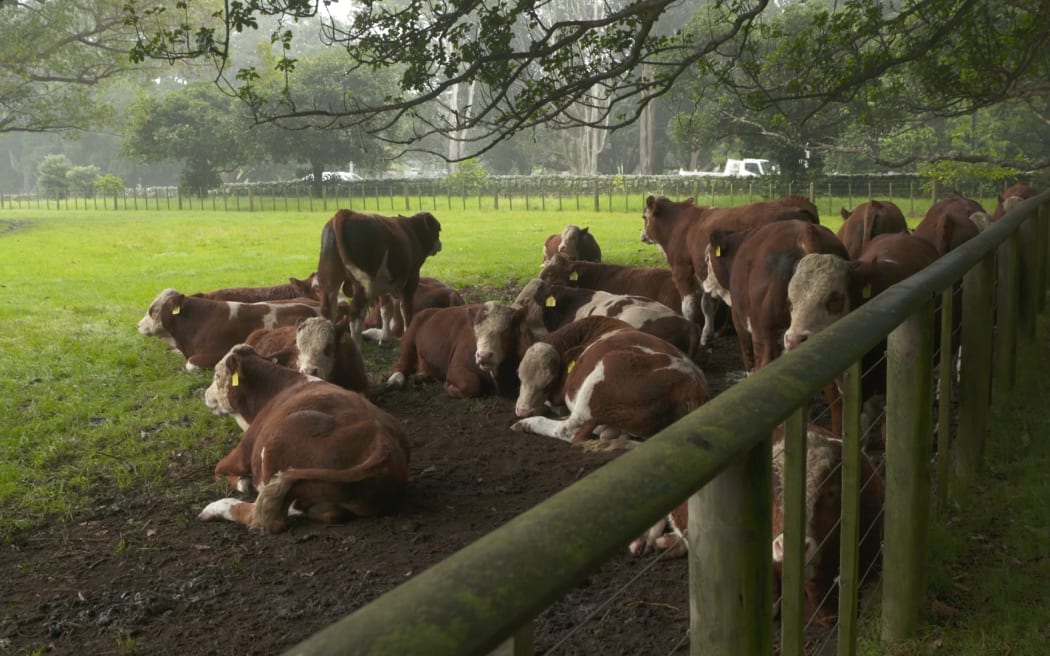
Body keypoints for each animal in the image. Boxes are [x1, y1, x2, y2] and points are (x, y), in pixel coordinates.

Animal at [197, 344, 409, 534]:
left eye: (217, 376)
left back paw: (215, 508)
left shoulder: (243, 452)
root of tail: (382, 442)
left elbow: (219, 470)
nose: (205, 395)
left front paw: (242, 482)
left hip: (277, 440)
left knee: (267, 516)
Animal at [315, 209, 442, 346]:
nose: (440, 244)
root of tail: (346, 213)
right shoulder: (412, 279)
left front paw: (385, 338)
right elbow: (406, 309)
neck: (412, 231)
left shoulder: (383, 284)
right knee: (355, 318)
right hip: (361, 286)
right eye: (438, 229)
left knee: (327, 311)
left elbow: (386, 310)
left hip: (328, 281)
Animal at [385, 301, 532, 398]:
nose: (483, 356)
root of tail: (429, 311)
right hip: (408, 340)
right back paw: (395, 381)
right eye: (475, 331)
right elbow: (472, 384)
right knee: (402, 364)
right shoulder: (455, 367)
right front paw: (449, 387)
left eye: (505, 331)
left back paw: (422, 376)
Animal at [511, 316, 708, 450]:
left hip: (601, 377)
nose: (521, 411)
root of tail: (692, 385)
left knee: (570, 431)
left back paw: (527, 424)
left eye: (547, 384)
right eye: (519, 377)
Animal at [641, 194, 820, 346]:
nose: (643, 236)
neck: (680, 223)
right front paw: (707, 335)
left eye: (644, 217)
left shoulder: (682, 270)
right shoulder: (706, 273)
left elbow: (689, 307)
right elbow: (707, 303)